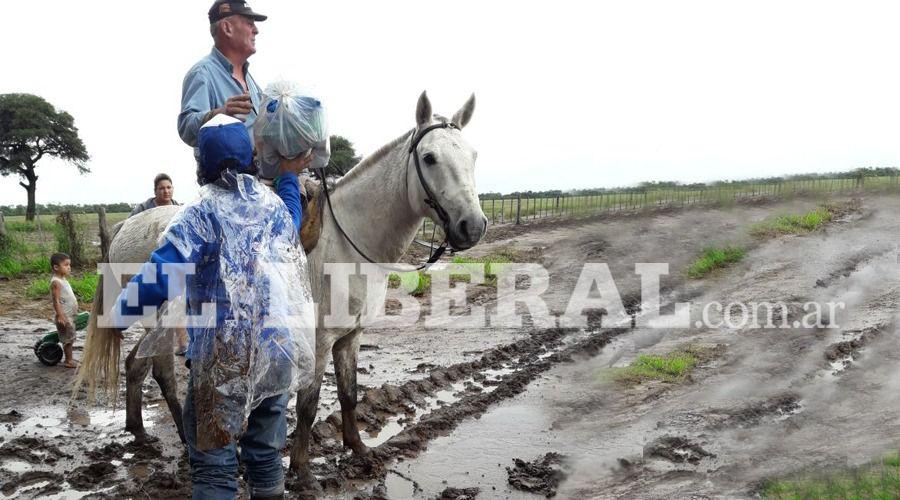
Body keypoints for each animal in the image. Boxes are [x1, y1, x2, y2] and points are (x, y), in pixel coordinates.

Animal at [76, 93, 486, 488]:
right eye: (429, 158)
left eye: (473, 156)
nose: (473, 226)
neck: (349, 241)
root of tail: (126, 226)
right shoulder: (319, 340)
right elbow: (308, 404)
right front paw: (302, 471)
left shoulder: (350, 336)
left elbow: (349, 394)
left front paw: (358, 449)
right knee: (161, 373)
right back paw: (181, 435)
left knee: (136, 366)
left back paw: (140, 432)